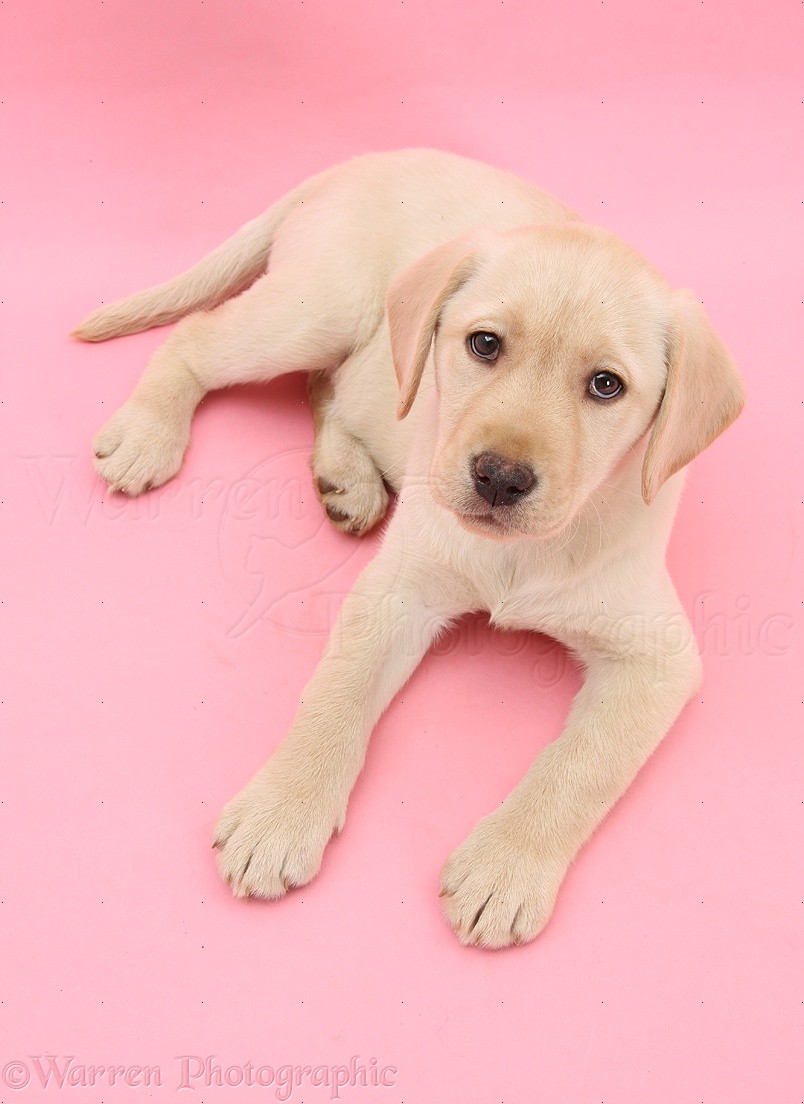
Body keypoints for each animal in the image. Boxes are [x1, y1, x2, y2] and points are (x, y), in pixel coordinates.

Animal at [73, 149, 742, 949]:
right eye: (484, 344)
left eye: (607, 385)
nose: (500, 477)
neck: (524, 554)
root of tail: (358, 161)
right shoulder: (397, 591)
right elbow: (336, 694)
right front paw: (282, 811)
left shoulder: (656, 661)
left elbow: (581, 768)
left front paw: (506, 867)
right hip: (314, 311)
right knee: (202, 338)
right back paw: (150, 431)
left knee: (328, 387)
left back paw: (347, 476)